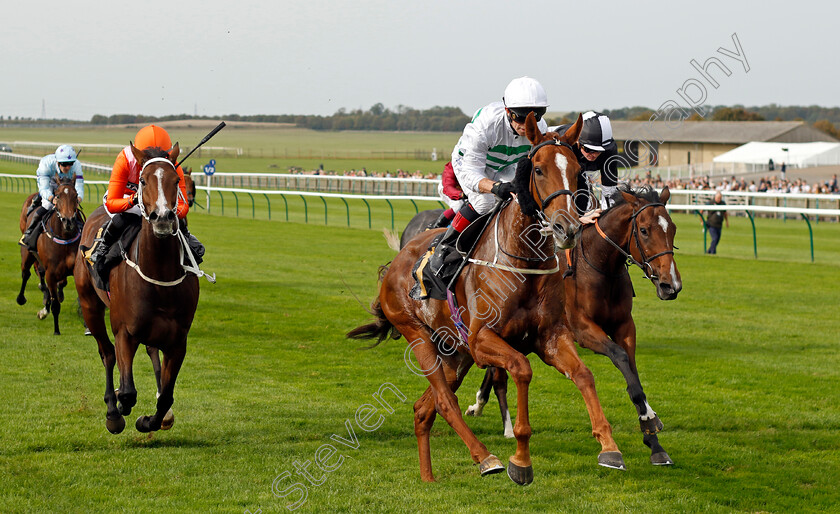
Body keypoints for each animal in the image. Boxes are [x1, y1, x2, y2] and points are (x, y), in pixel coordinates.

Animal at [74, 143, 200, 432]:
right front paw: (120, 406)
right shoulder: (124, 331)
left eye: (176, 180)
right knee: (107, 353)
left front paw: (150, 420)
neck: (160, 277)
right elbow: (128, 391)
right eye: (143, 181)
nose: (163, 218)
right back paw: (112, 409)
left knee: (151, 350)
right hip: (89, 304)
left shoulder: (178, 341)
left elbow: (166, 397)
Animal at [466, 185, 684, 464]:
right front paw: (648, 419)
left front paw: (654, 441)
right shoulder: (582, 329)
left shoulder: (625, 326)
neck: (599, 266)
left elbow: (632, 370)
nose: (671, 285)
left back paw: (481, 404)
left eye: (673, 229)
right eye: (644, 230)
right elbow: (620, 356)